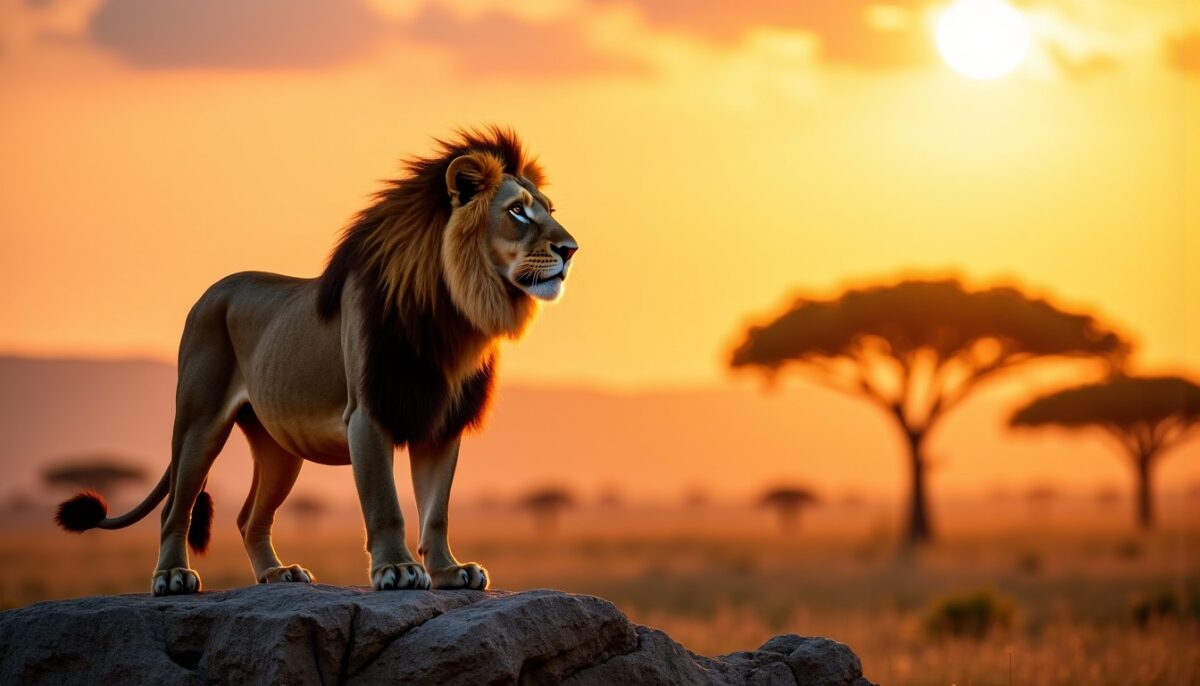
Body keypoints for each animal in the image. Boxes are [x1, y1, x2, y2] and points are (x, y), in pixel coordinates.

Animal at [55, 127, 578, 595]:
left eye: (549, 210)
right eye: (517, 211)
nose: (571, 249)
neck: (455, 314)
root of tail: (213, 290)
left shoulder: (442, 423)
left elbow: (437, 511)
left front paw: (450, 572)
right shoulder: (368, 415)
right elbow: (385, 504)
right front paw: (398, 570)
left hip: (278, 447)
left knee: (249, 515)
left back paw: (277, 574)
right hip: (199, 422)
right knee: (174, 508)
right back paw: (172, 578)